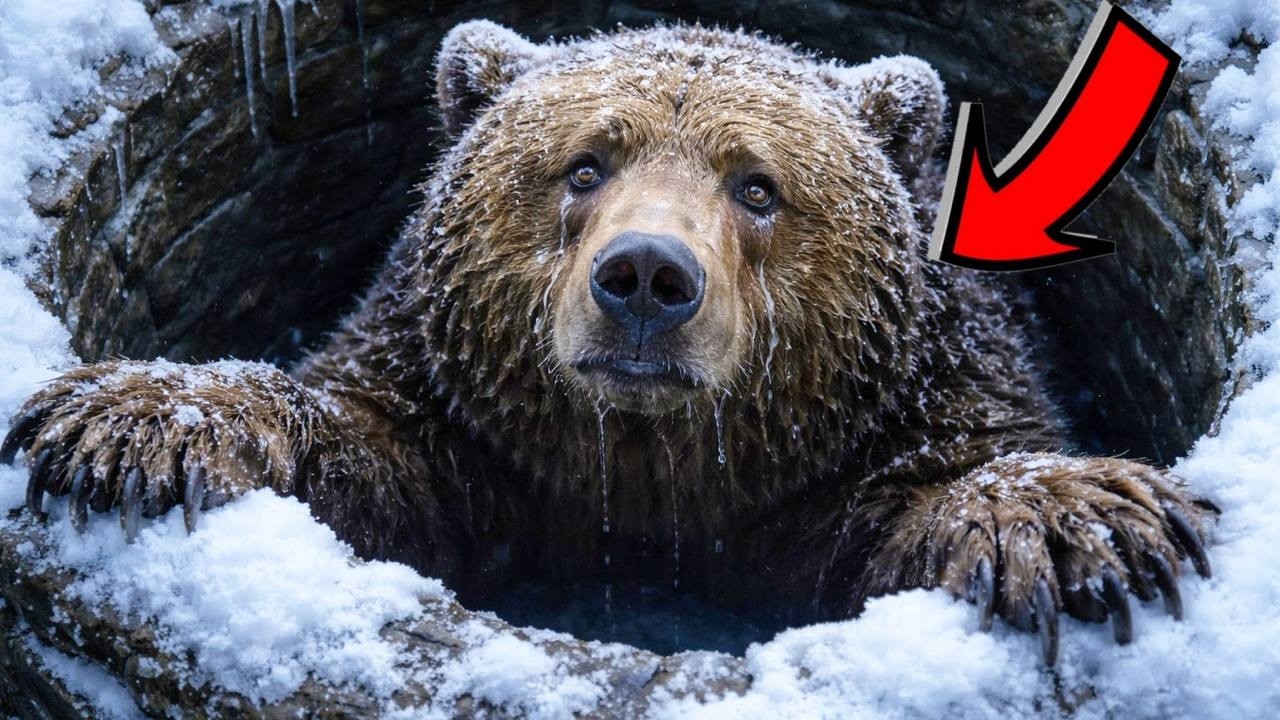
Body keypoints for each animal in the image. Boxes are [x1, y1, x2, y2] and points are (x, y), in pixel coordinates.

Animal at [1, 21, 1214, 666]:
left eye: (756, 185)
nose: (645, 278)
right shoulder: (469, 438)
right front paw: (132, 420)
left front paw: (1078, 523)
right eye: (584, 165)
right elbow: (357, 448)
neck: (650, 471)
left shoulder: (867, 451)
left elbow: (944, 491)